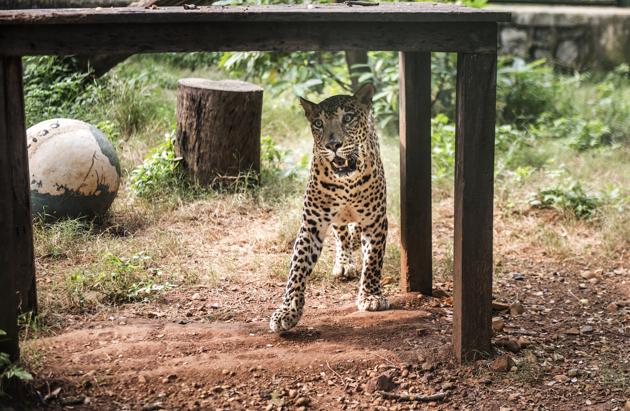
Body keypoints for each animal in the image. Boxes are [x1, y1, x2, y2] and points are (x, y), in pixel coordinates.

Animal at [270, 82, 390, 334]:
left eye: (348, 118)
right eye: (318, 123)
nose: (333, 145)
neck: (346, 183)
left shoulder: (375, 222)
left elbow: (373, 261)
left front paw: (371, 296)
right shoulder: (311, 226)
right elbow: (296, 271)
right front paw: (287, 311)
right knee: (342, 235)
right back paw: (344, 262)